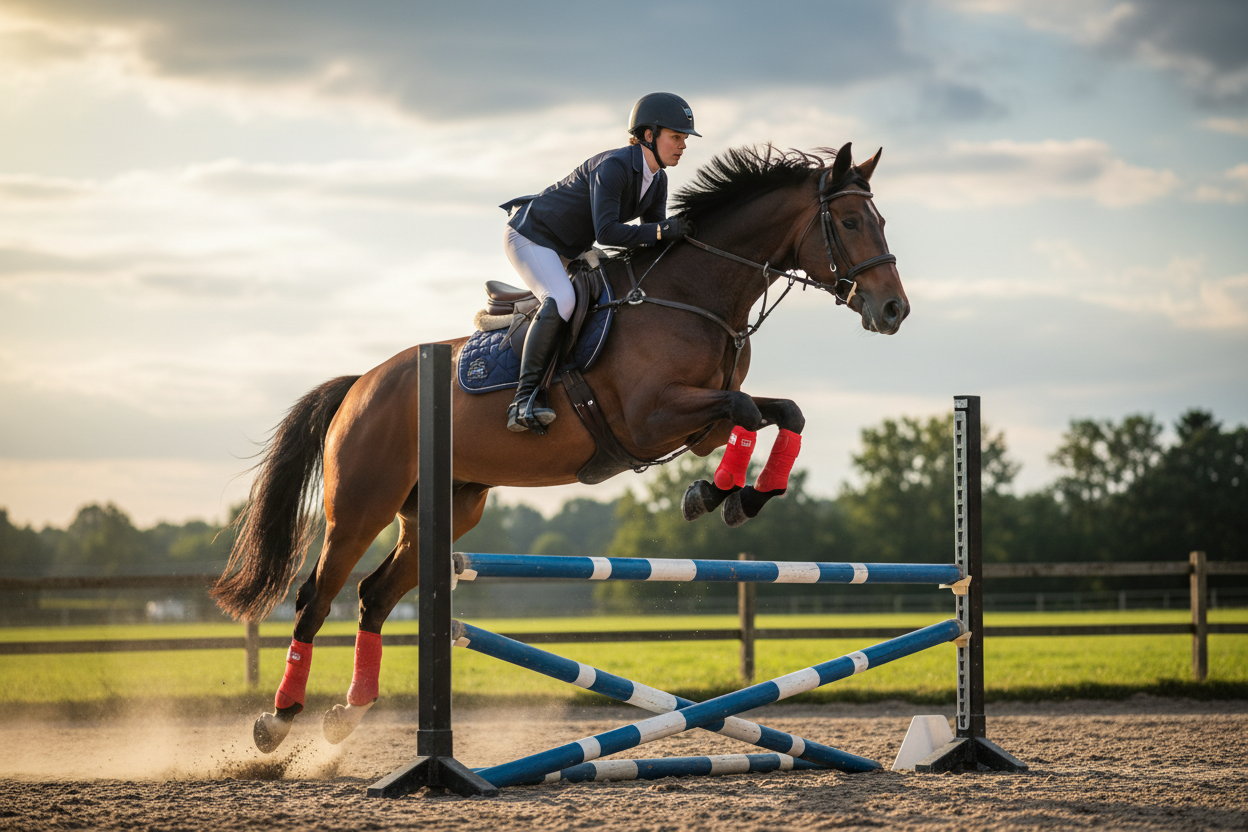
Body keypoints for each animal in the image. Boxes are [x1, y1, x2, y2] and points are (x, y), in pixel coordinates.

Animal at [211, 141, 909, 752]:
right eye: (850, 221)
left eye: (879, 219)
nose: (894, 310)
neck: (694, 295)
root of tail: (361, 385)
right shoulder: (651, 417)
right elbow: (742, 412)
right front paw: (712, 496)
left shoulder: (698, 422)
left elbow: (780, 413)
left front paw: (734, 497)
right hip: (361, 505)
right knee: (316, 597)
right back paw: (277, 721)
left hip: (445, 511)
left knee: (375, 596)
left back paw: (346, 716)